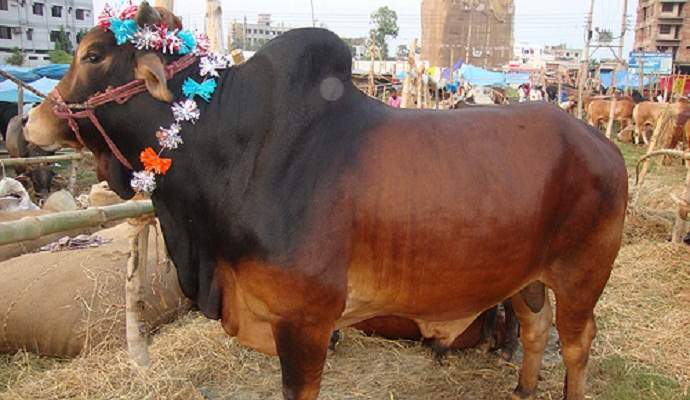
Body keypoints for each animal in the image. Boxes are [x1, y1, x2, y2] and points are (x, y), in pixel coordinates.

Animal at [24, 4, 628, 400]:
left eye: (94, 55)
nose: (29, 120)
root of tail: (599, 143)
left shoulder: (306, 322)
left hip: (582, 274)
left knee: (578, 344)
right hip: (527, 276)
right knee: (535, 328)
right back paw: (523, 390)